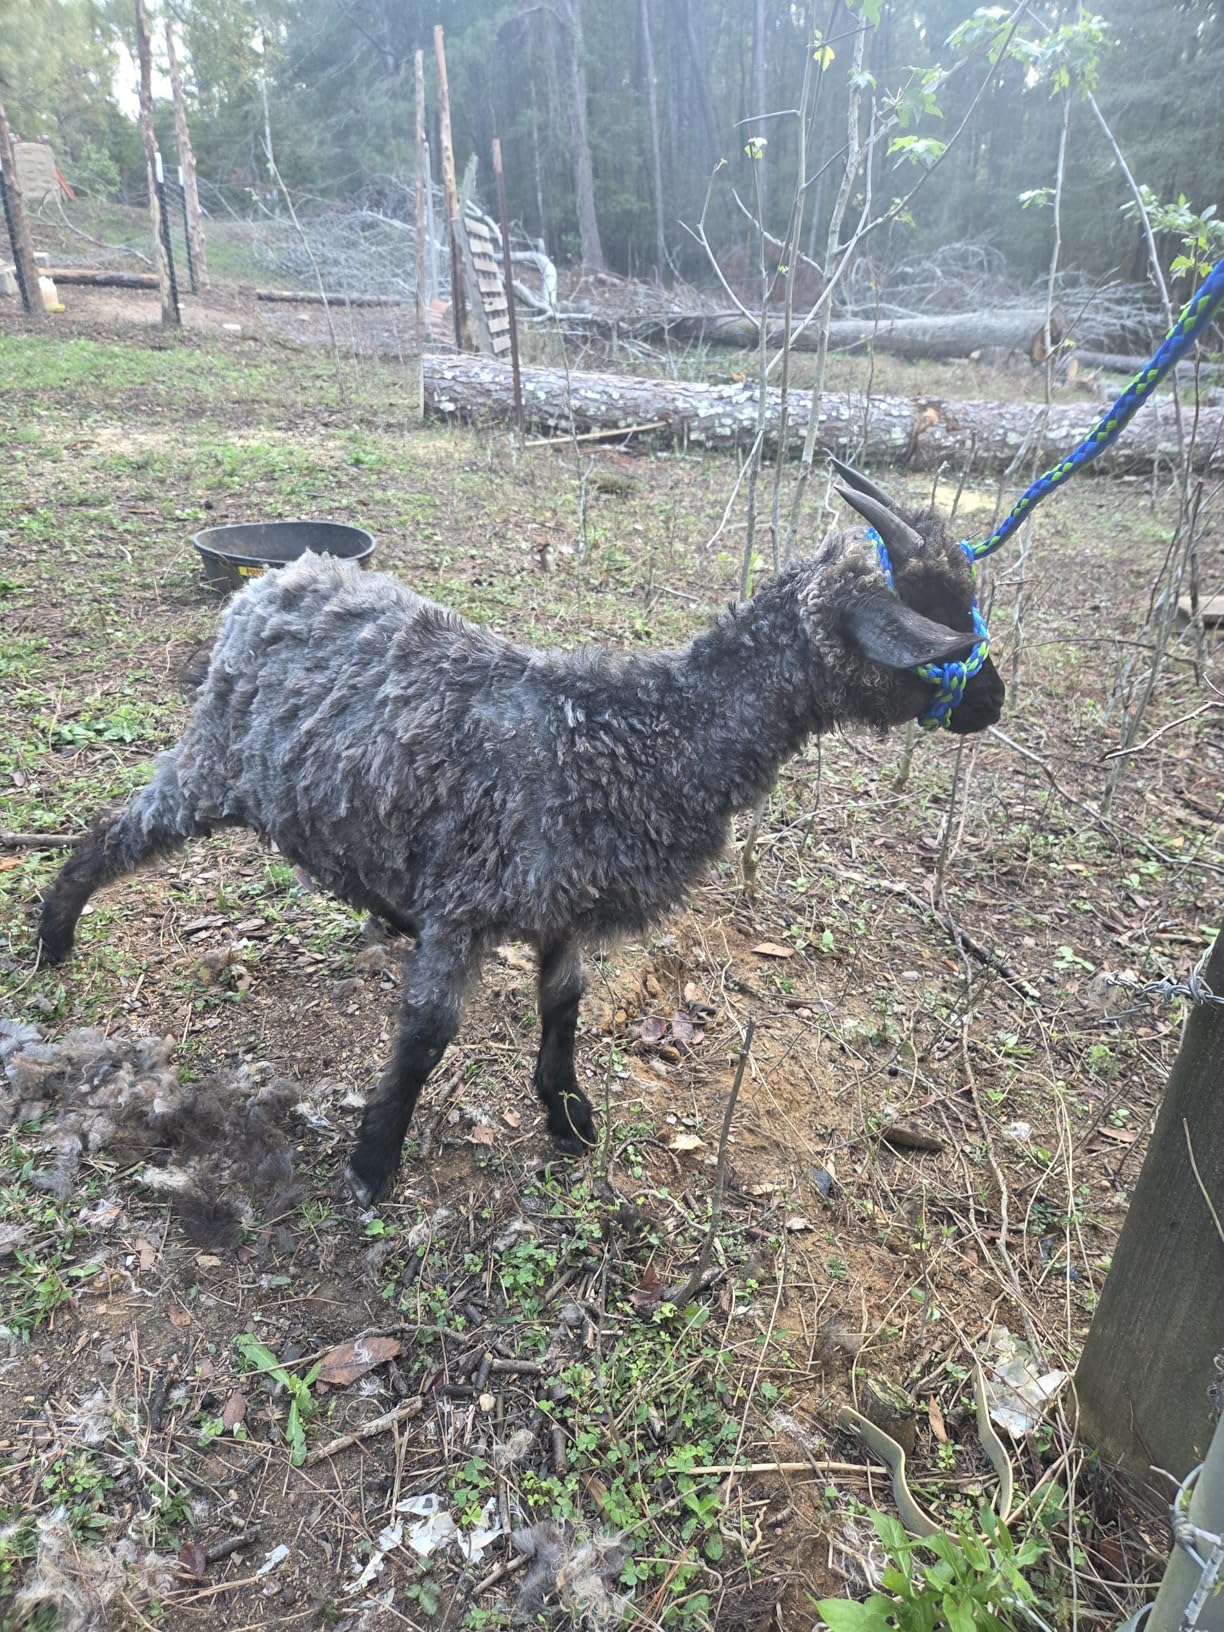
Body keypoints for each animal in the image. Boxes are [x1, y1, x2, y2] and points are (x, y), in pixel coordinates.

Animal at [37, 463, 1005, 1203]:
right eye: (941, 620)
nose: (992, 702)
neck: (640, 733)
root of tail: (274, 583)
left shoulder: (562, 901)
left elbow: (564, 1003)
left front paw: (567, 1110)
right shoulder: (469, 899)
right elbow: (427, 1036)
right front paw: (372, 1163)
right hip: (215, 764)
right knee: (118, 832)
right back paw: (54, 933)